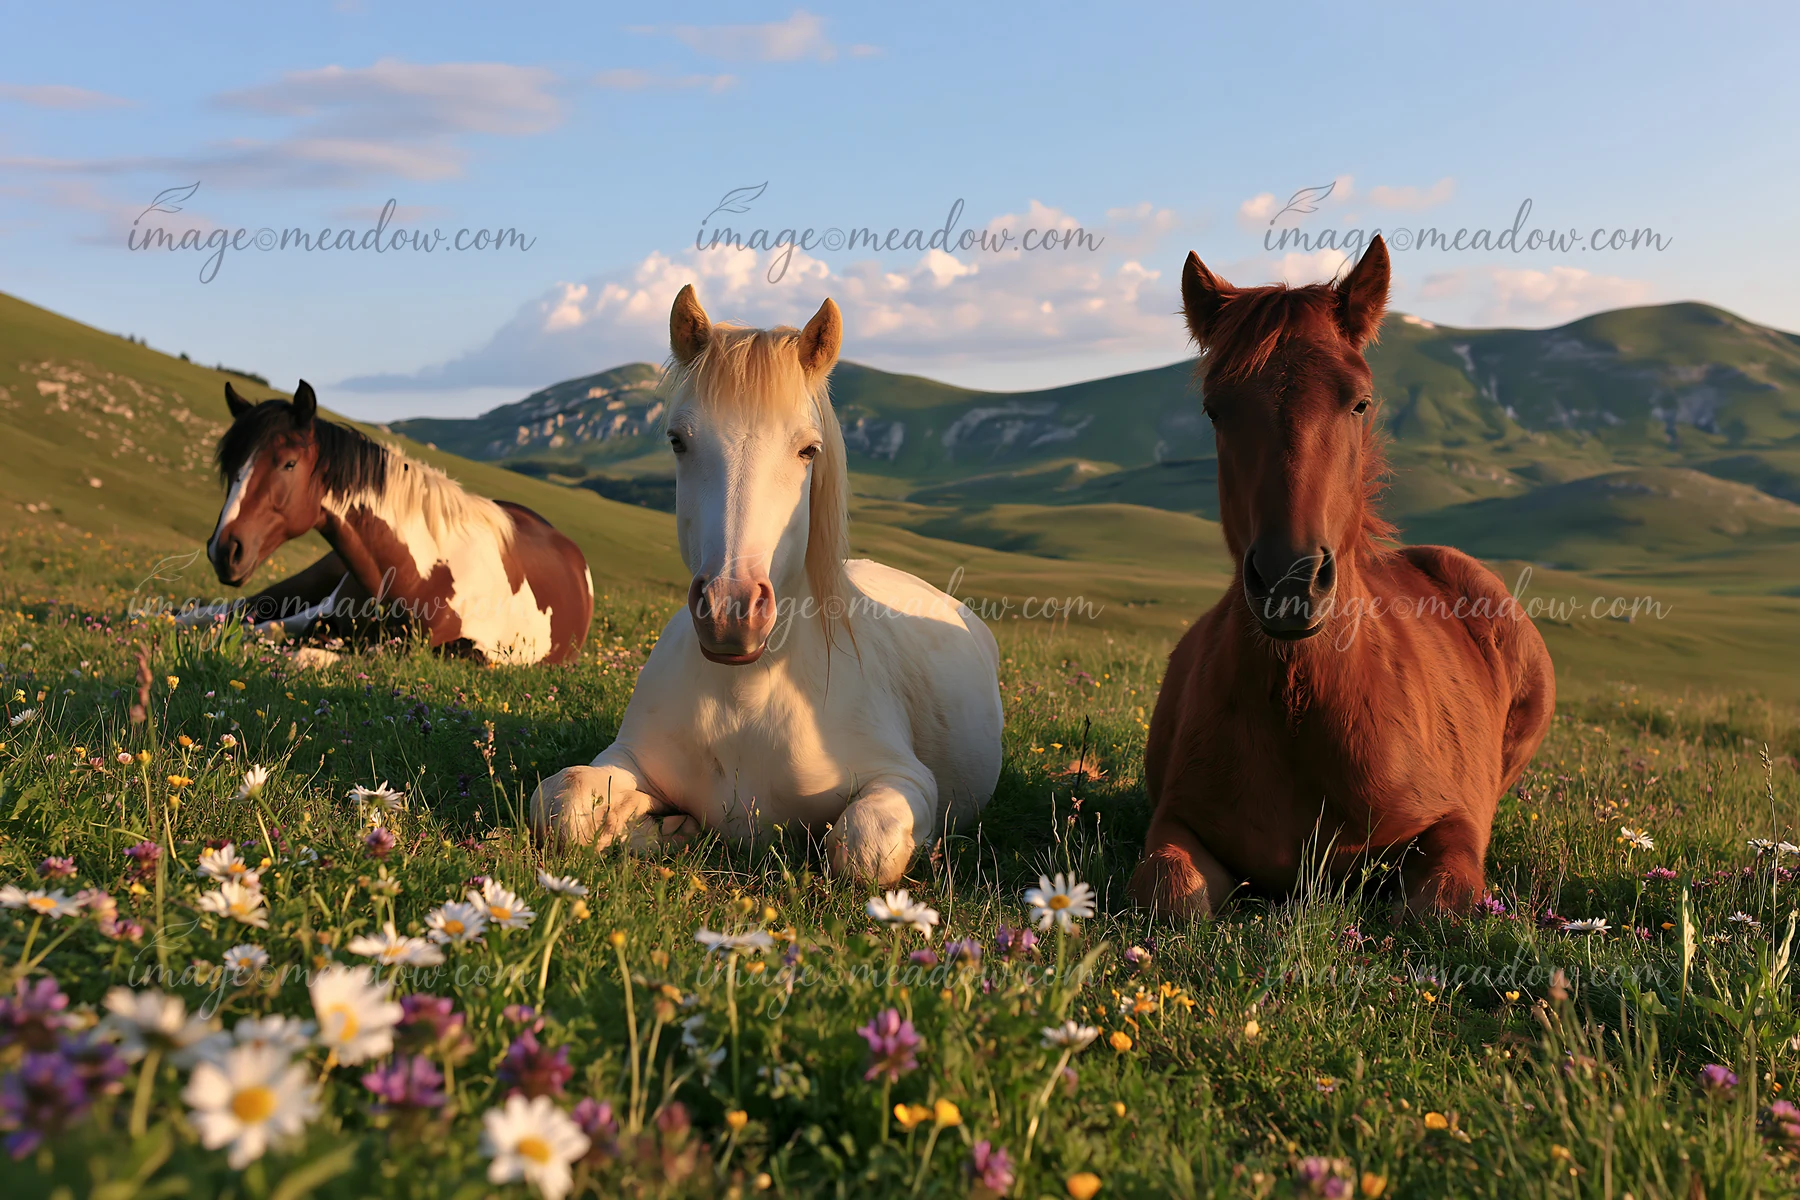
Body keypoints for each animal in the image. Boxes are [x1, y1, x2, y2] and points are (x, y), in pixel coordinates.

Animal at [181, 380, 593, 667]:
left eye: (289, 463)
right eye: (231, 465)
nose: (225, 550)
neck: (419, 573)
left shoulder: (424, 650)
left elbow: (299, 653)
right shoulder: (320, 614)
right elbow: (257, 628)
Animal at [529, 286, 1003, 884]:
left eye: (808, 450)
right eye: (677, 440)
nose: (730, 611)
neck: (747, 694)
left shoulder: (906, 781)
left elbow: (863, 846)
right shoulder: (628, 756)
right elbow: (560, 803)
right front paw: (659, 826)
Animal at [1133, 236, 1555, 917]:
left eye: (1358, 402)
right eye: (1215, 411)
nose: (1290, 582)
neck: (1300, 706)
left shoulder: (1453, 824)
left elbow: (1443, 903)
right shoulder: (1176, 821)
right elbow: (1168, 888)